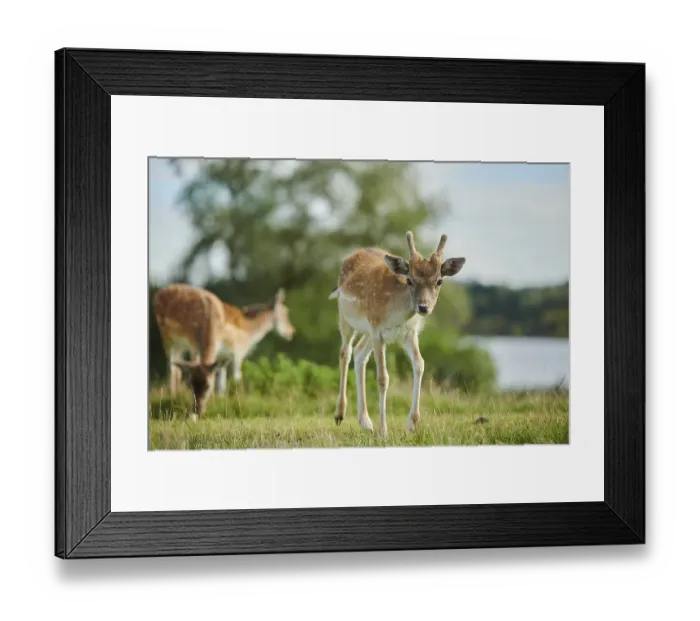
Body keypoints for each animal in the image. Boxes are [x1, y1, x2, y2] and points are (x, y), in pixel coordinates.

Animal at [153, 283, 295, 418]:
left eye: (208, 386)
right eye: (286, 313)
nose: (291, 332)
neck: (249, 334)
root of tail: (159, 292)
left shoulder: (223, 356)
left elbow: (222, 382)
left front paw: (223, 404)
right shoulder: (237, 352)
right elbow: (236, 378)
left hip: (180, 346)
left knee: (176, 367)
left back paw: (174, 396)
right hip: (167, 339)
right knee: (172, 369)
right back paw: (173, 397)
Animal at [329, 231, 465, 438]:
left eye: (439, 281)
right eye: (410, 280)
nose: (423, 307)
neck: (396, 313)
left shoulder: (409, 333)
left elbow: (420, 364)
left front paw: (411, 426)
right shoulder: (377, 330)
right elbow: (382, 377)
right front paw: (383, 431)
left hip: (367, 332)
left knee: (359, 353)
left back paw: (365, 421)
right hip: (345, 316)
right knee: (345, 352)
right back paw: (340, 414)